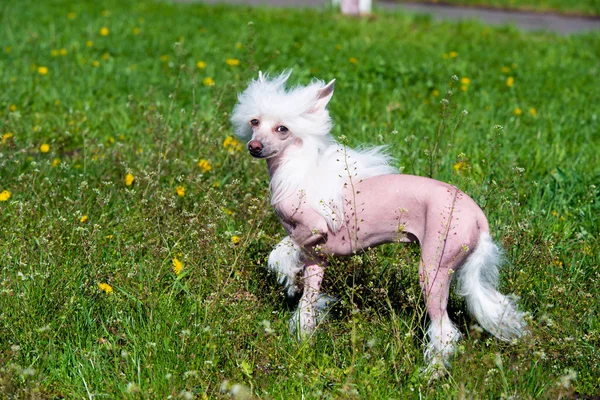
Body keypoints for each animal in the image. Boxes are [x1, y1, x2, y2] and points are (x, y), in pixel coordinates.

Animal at [231, 70, 524, 370]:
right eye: (255, 122)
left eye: (283, 129)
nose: (254, 146)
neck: (297, 173)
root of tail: (478, 216)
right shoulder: (316, 257)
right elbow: (308, 304)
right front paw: (303, 341)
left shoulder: (312, 229)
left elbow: (280, 252)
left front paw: (286, 274)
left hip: (434, 267)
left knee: (445, 330)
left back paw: (430, 373)